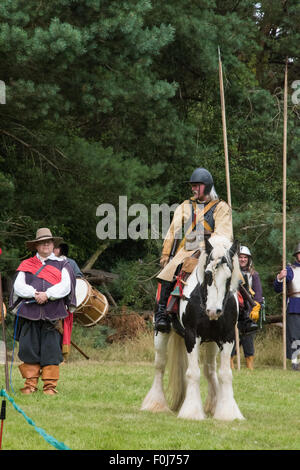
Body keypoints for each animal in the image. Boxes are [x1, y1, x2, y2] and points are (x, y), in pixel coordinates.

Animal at [141, 235, 244, 422]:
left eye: (229, 277)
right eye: (208, 274)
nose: (214, 311)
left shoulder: (227, 338)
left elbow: (225, 374)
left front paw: (227, 412)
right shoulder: (191, 336)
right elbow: (193, 373)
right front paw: (192, 411)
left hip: (212, 343)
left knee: (210, 370)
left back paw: (213, 405)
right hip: (161, 334)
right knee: (160, 365)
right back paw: (155, 403)